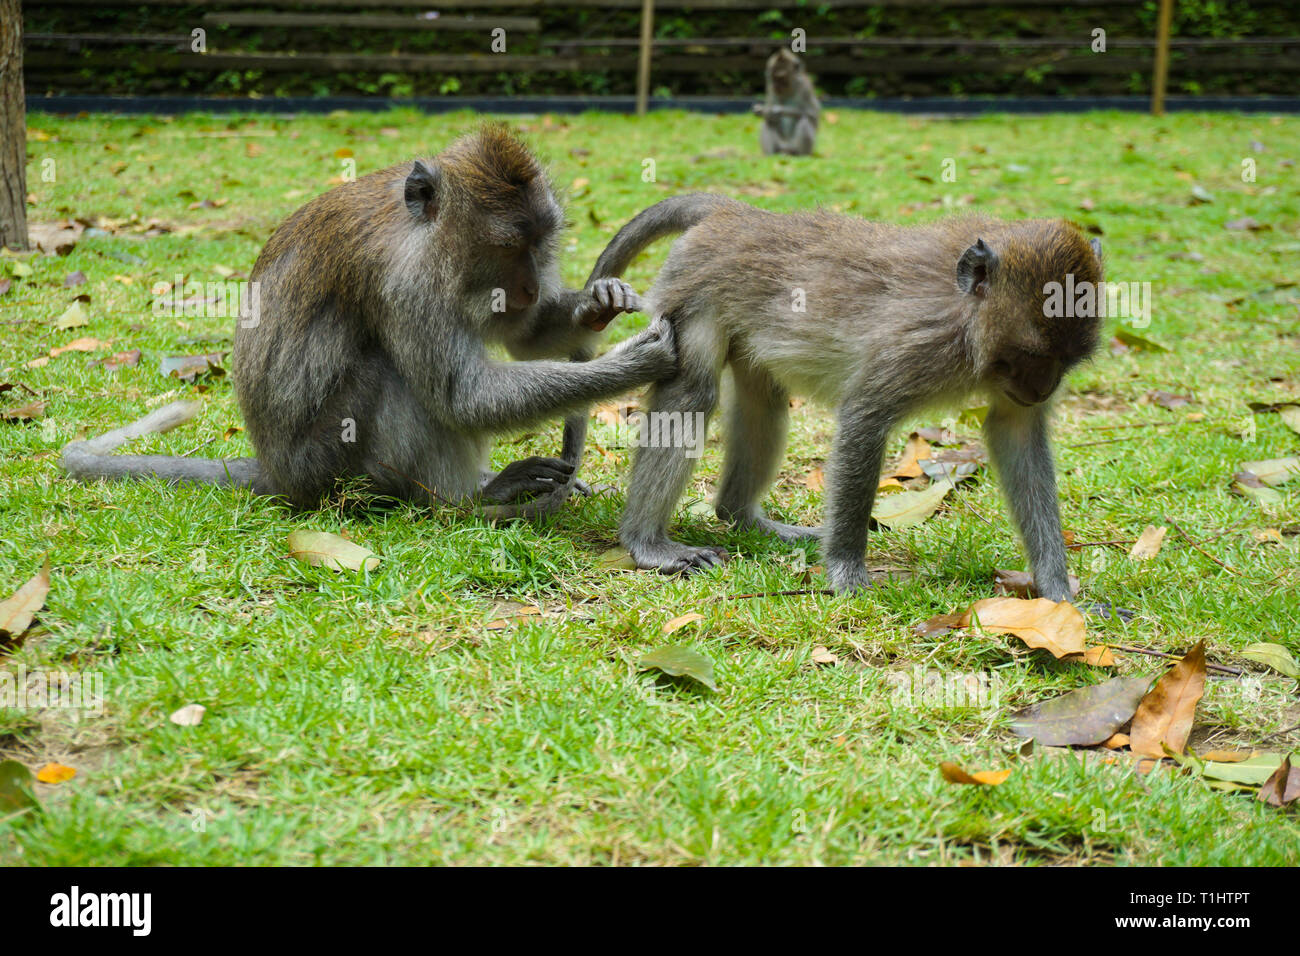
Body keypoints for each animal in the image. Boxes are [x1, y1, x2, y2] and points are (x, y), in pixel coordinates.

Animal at [62, 128, 676, 520]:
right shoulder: (405, 281)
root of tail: (275, 472)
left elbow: (521, 336)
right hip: (328, 469)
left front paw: (599, 302)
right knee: (388, 374)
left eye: (541, 243)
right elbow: (463, 398)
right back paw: (469, 501)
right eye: (507, 246)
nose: (527, 288)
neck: (421, 231)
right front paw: (634, 362)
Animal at [590, 193, 1107, 598]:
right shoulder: (917, 345)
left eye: (1066, 360)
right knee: (693, 392)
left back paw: (741, 517)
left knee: (764, 402)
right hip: (696, 288)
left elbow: (1015, 432)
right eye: (1030, 354)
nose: (1042, 389)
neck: (967, 318)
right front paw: (845, 571)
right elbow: (865, 417)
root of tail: (738, 214)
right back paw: (647, 544)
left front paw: (1059, 594)